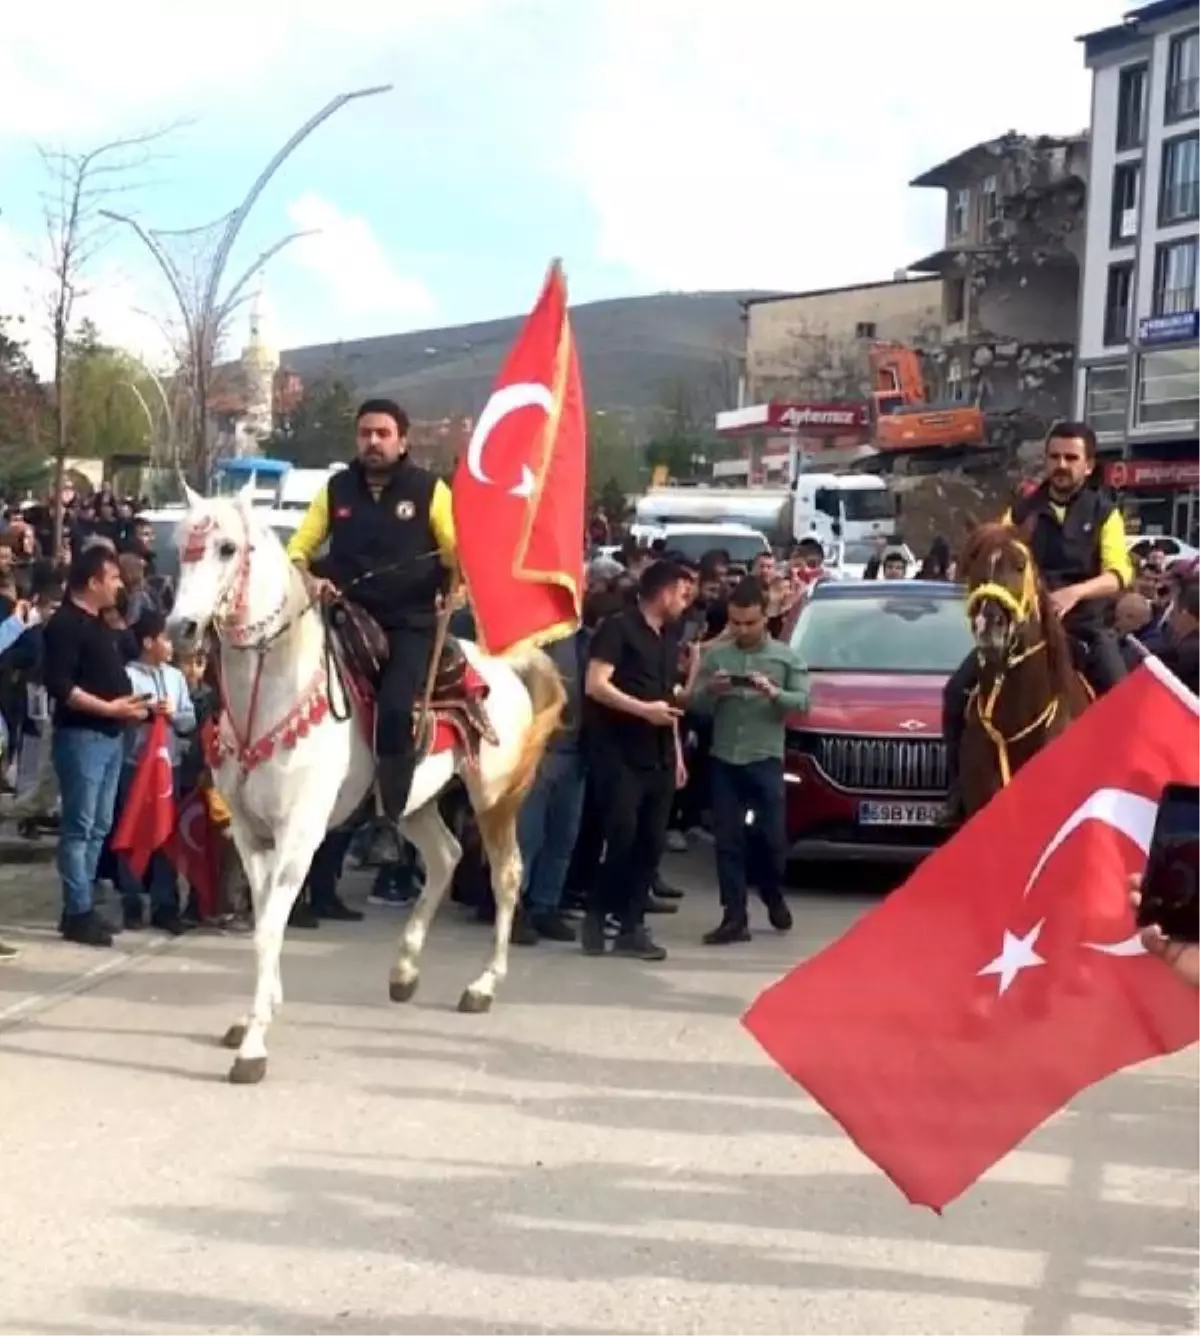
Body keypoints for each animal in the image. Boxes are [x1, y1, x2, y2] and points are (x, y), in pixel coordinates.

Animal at [163, 488, 566, 1084]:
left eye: (227, 547)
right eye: (179, 546)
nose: (181, 628)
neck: (272, 696)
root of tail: (503, 663)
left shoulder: (298, 835)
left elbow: (269, 928)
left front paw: (253, 1044)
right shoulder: (249, 832)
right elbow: (263, 922)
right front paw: (255, 1014)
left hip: (492, 799)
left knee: (507, 875)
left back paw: (483, 985)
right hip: (412, 801)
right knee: (446, 857)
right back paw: (404, 970)